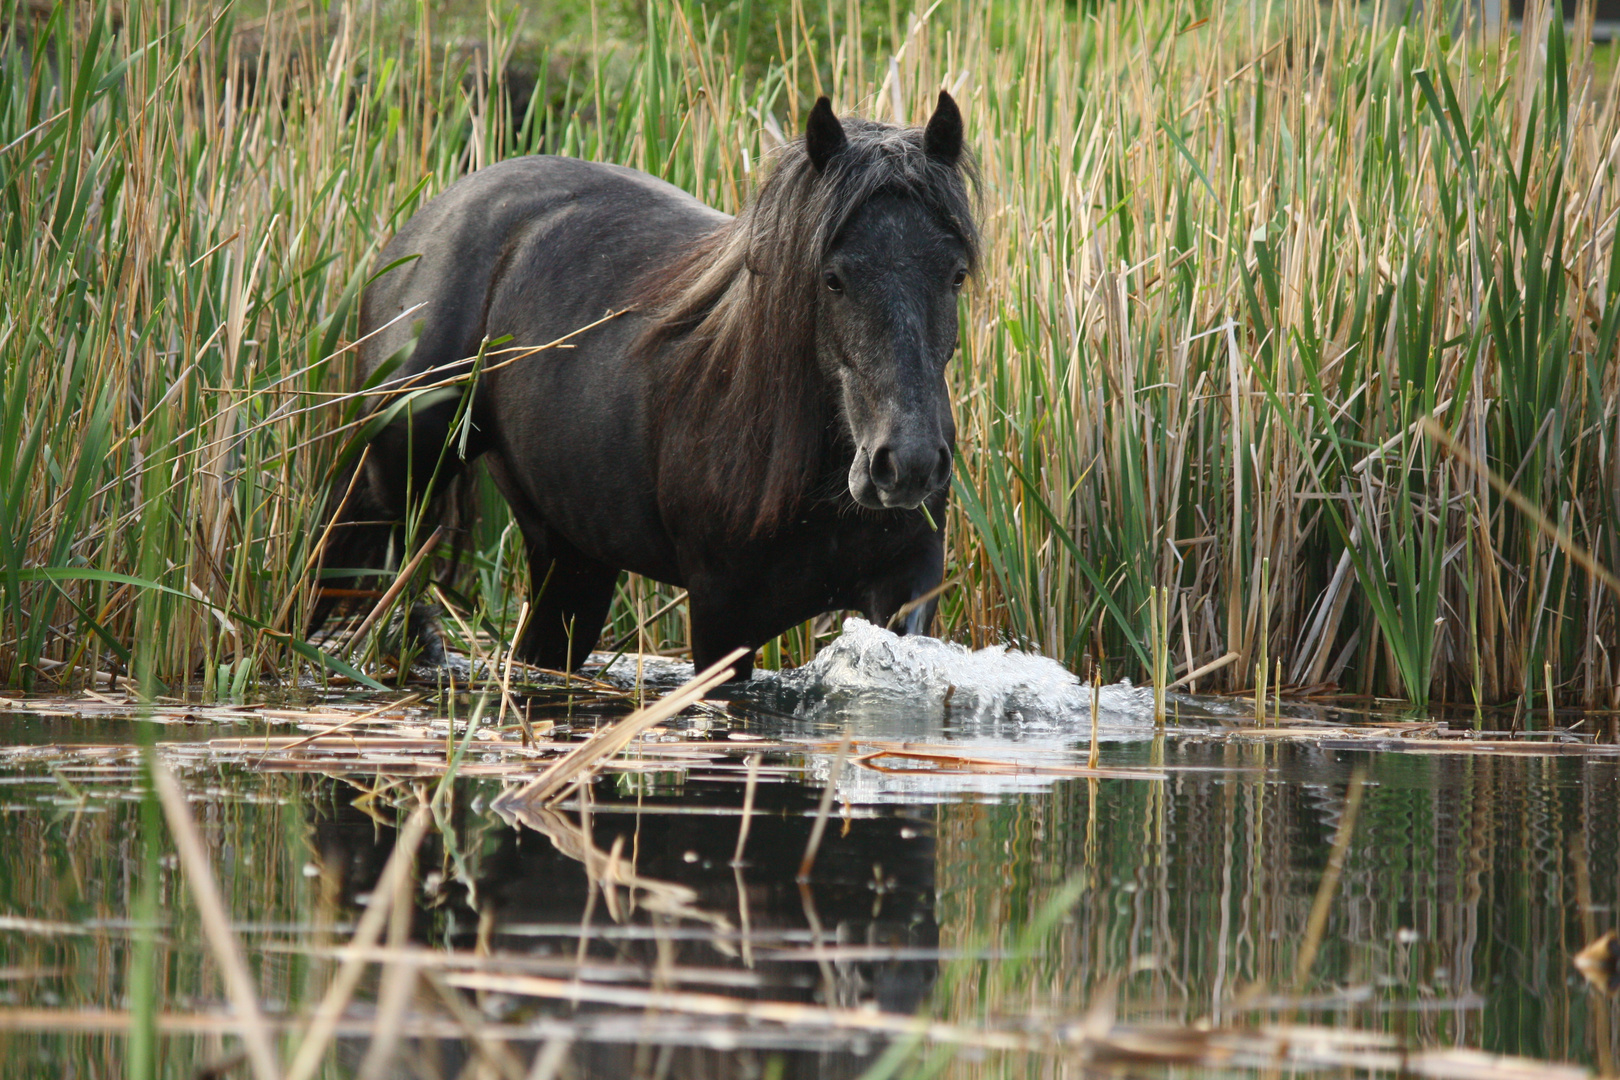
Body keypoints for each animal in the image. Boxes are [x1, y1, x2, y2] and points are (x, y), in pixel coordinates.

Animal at [311, 92, 978, 681]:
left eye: (955, 275)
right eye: (833, 278)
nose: (908, 465)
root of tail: (424, 225)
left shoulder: (907, 587)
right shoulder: (721, 618)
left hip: (568, 551)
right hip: (397, 476)